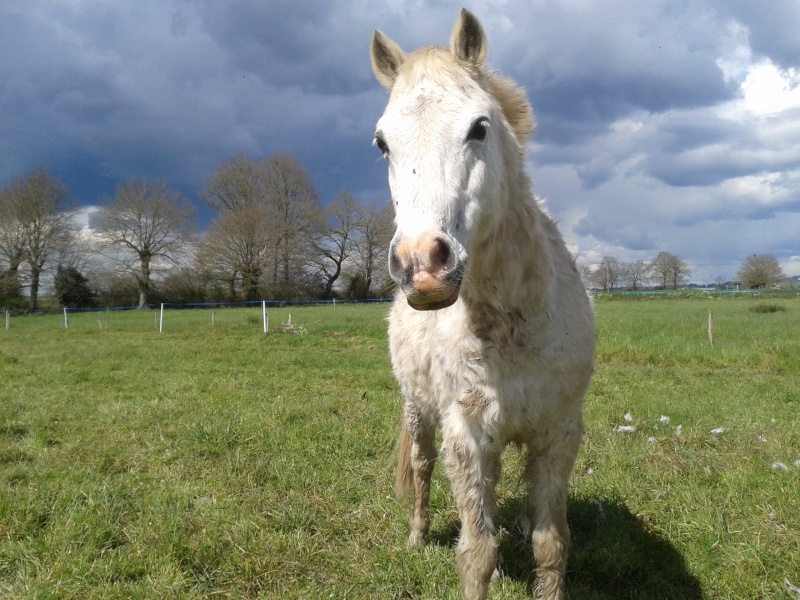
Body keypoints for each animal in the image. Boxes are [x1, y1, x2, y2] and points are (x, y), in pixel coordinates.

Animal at [370, 9, 592, 600]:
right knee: (422, 467)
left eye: (479, 127)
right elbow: (477, 552)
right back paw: (417, 535)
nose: (422, 265)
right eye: (382, 143)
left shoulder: (558, 432)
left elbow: (551, 544)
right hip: (420, 410)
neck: (514, 319)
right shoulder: (467, 437)